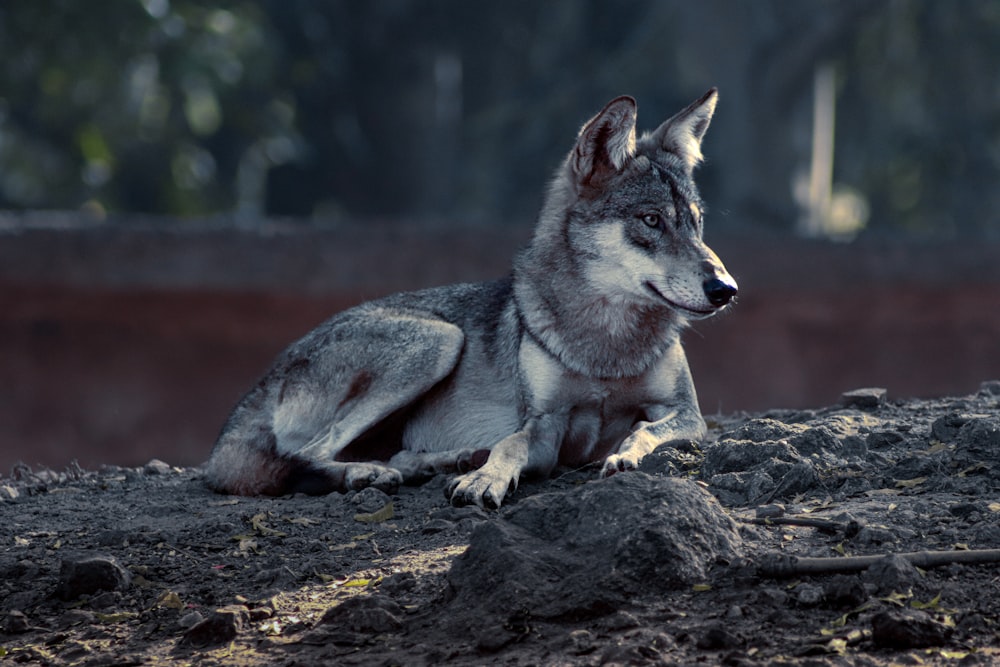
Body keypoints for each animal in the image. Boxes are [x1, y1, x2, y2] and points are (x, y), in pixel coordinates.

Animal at [205, 87, 736, 506]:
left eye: (696, 222)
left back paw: (439, 461)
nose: (725, 289)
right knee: (305, 454)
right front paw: (486, 479)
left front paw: (623, 455)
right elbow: (511, 446)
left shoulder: (686, 414)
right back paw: (372, 473)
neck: (606, 345)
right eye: (651, 220)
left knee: (377, 452)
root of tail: (263, 384)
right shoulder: (543, 425)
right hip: (438, 341)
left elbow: (645, 430)